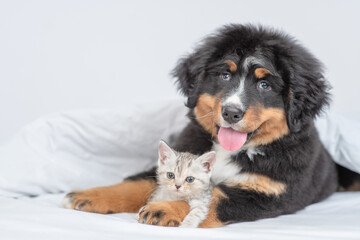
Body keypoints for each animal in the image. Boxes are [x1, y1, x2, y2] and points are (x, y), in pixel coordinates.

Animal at [62, 24, 360, 227]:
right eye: (225, 75)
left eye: (264, 84)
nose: (231, 112)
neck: (232, 152)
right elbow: (136, 182)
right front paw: (89, 195)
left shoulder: (269, 193)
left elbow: (212, 198)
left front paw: (165, 209)